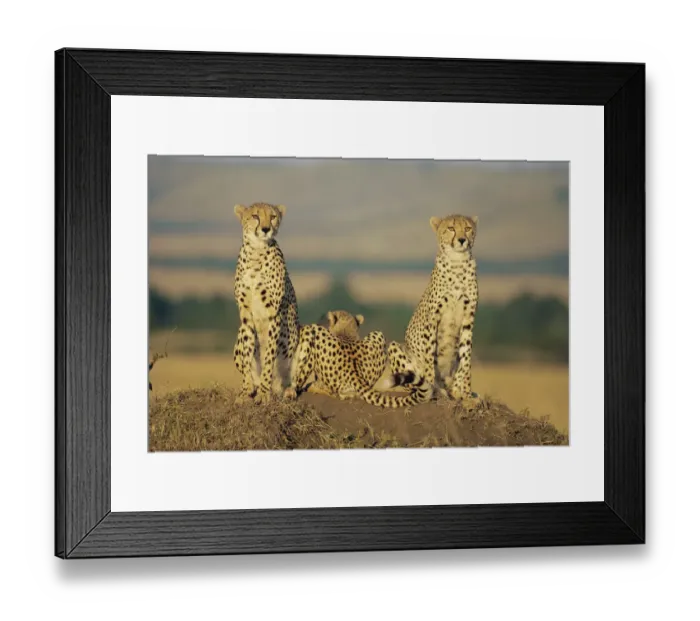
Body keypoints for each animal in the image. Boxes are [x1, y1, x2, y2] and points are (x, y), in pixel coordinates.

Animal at [232, 202, 299, 404]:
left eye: (273, 216)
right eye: (255, 216)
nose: (266, 229)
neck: (256, 252)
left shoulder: (273, 313)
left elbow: (269, 354)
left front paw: (263, 392)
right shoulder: (245, 313)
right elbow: (247, 354)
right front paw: (247, 391)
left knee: (292, 381)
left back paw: (287, 391)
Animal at [387, 214, 480, 402]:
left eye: (467, 228)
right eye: (451, 228)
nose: (462, 240)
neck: (458, 263)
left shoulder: (468, 318)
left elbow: (466, 358)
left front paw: (466, 393)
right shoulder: (433, 319)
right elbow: (430, 356)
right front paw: (431, 388)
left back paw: (456, 390)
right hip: (394, 348)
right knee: (411, 383)